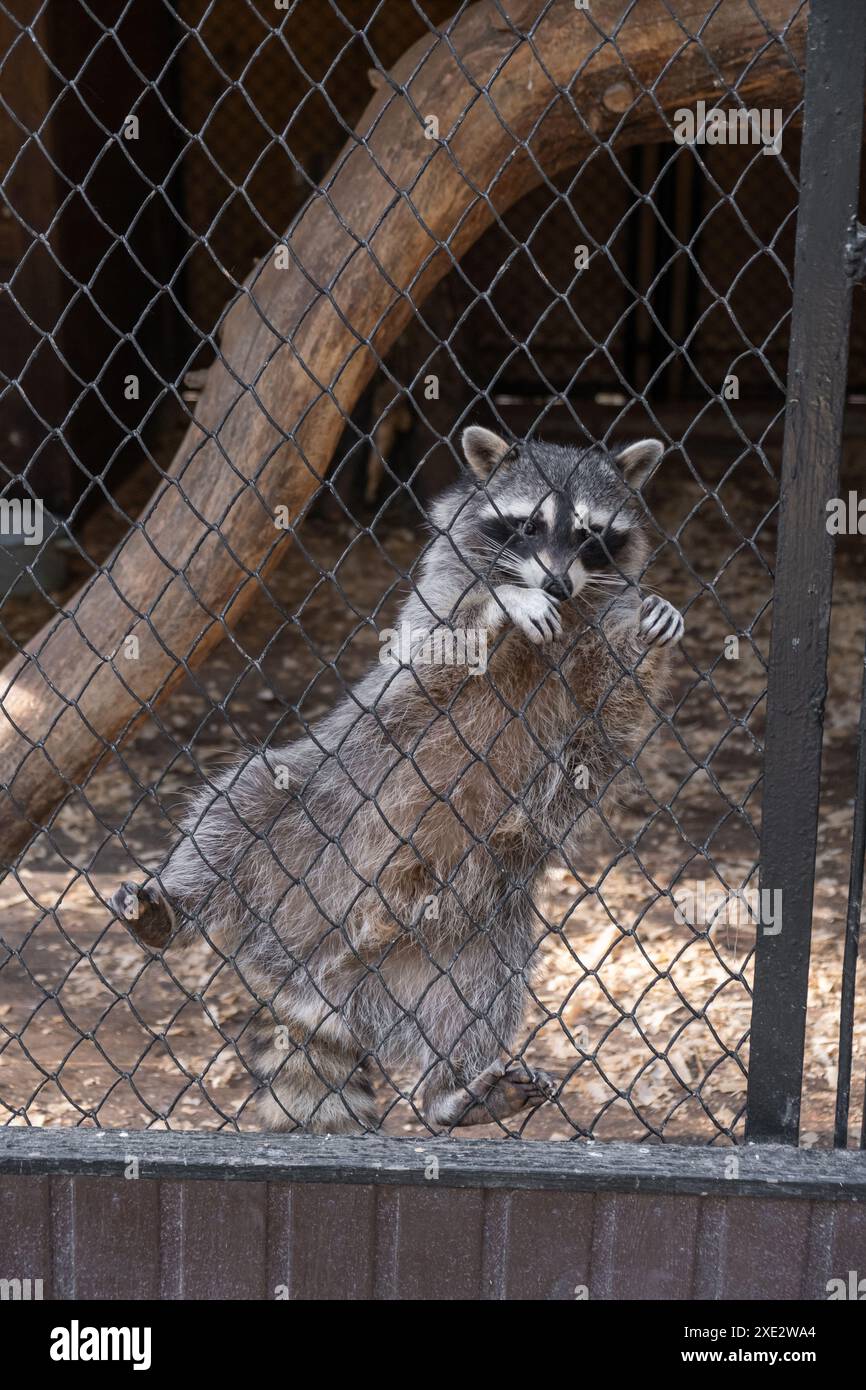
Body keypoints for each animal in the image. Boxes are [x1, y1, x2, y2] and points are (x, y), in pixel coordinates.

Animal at [113, 428, 683, 1134]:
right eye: (528, 525)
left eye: (588, 533)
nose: (554, 582)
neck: (565, 606)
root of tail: (315, 972)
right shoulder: (436, 593)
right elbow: (444, 637)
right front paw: (508, 600)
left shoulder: (597, 652)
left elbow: (613, 711)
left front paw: (651, 632)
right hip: (318, 797)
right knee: (236, 808)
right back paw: (172, 903)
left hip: (472, 929)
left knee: (480, 994)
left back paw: (453, 1090)